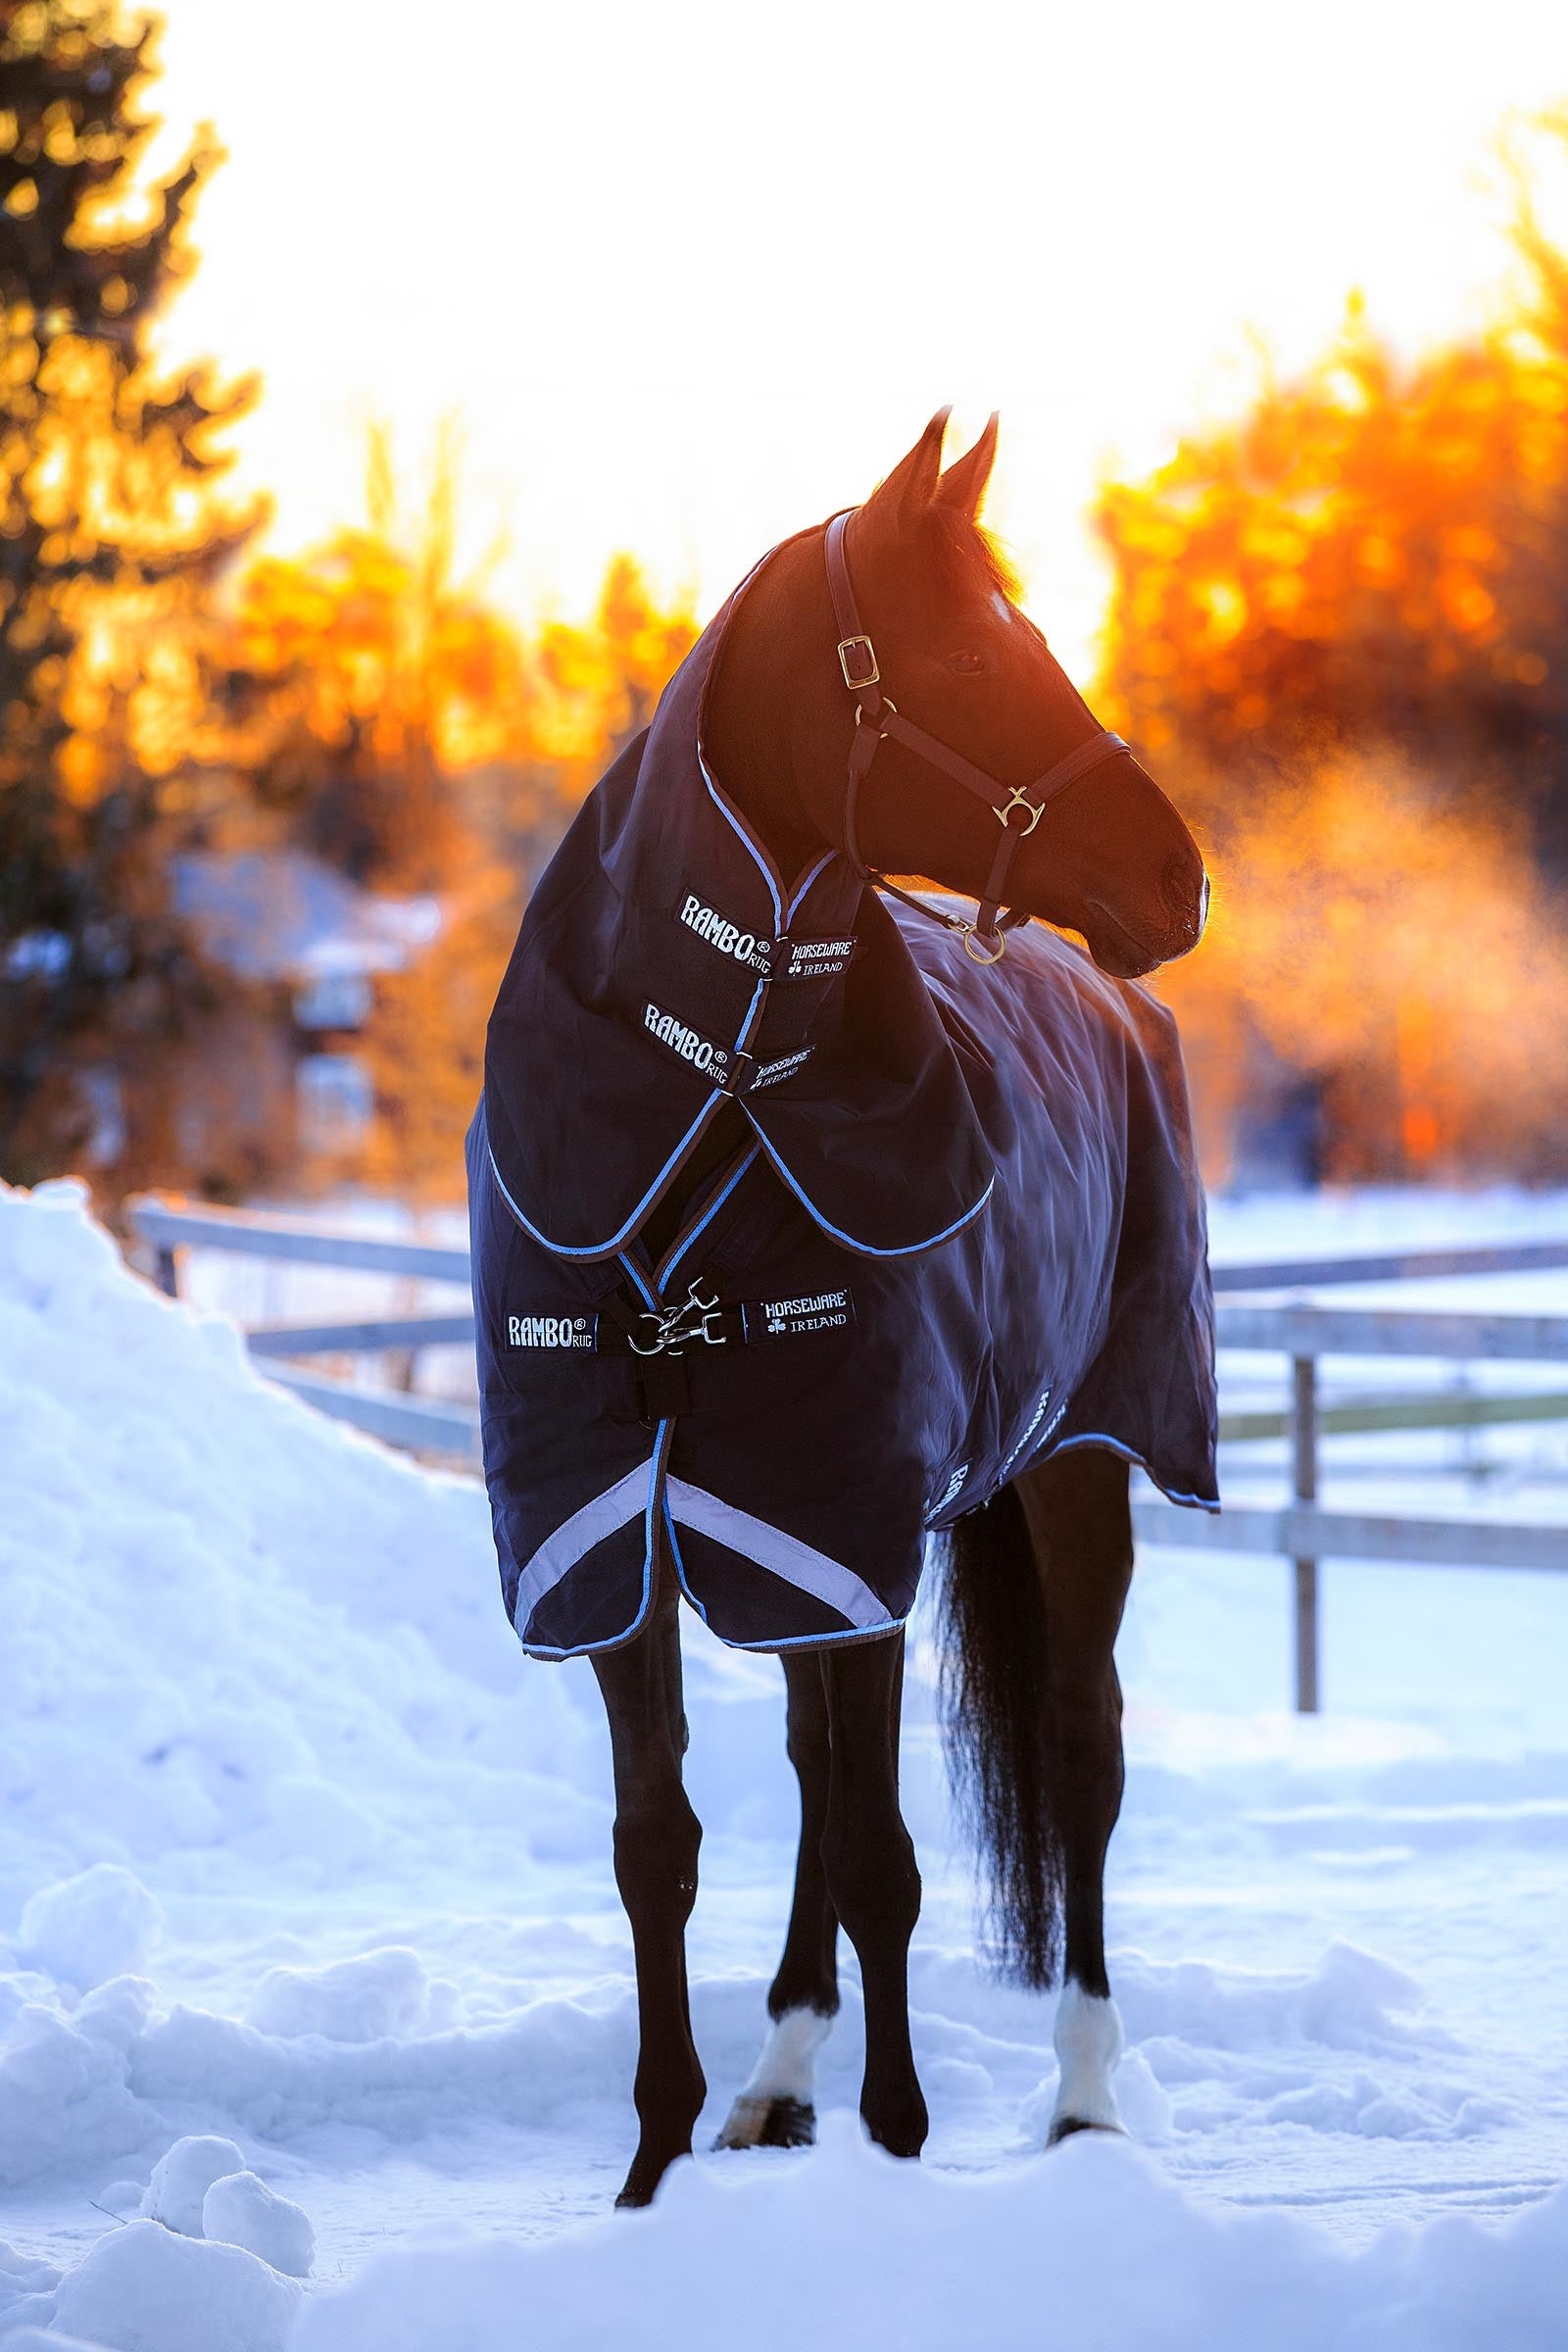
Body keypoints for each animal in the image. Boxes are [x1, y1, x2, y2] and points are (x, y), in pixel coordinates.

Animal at [466, 409, 1216, 2209]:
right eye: (972, 652)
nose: (1182, 880)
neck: (717, 1101)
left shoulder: (846, 1515)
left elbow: (886, 1858)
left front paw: (899, 2152)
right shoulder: (636, 1527)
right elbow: (659, 1846)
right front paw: (654, 2172)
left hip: (1079, 1464)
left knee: (1082, 1753)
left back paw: (1084, 2101)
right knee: (822, 1772)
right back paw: (777, 2082)